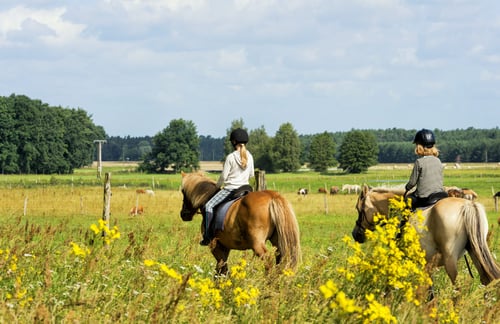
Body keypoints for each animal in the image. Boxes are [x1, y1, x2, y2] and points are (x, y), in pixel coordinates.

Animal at [352, 185, 500, 286]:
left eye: (359, 209)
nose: (355, 234)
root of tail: (468, 205)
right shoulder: (427, 264)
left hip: (450, 260)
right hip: (475, 251)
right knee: (487, 279)